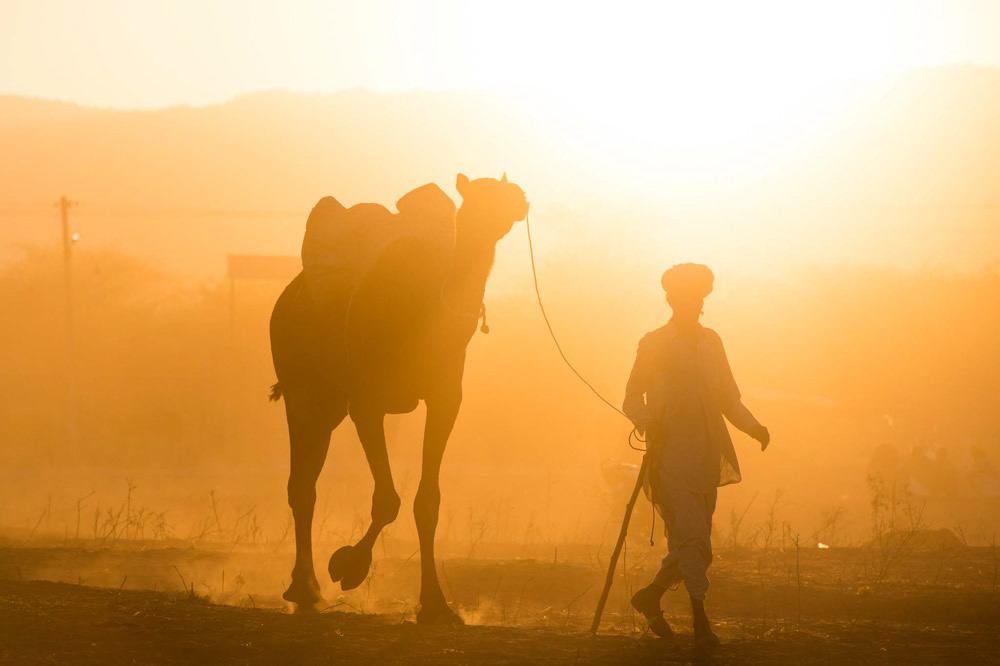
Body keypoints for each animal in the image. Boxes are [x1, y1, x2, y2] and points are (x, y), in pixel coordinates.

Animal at [266, 174, 532, 620]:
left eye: (506, 190)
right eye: (478, 194)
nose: (520, 201)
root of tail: (287, 298)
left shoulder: (445, 399)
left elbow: (428, 503)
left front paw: (436, 605)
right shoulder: (367, 402)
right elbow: (387, 499)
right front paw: (349, 566)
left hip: (329, 403)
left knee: (307, 480)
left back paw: (306, 588)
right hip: (302, 387)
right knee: (301, 485)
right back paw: (305, 590)